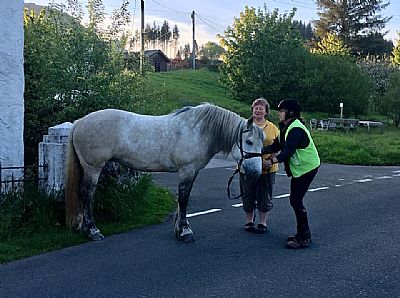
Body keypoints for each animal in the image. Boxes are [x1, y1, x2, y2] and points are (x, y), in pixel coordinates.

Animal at [65, 103, 266, 241]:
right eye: (249, 141)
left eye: (262, 143)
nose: (256, 173)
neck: (199, 130)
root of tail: (79, 122)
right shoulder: (186, 170)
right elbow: (183, 200)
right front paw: (185, 231)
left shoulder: (192, 172)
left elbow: (182, 200)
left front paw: (179, 229)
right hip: (93, 168)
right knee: (86, 195)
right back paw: (93, 231)